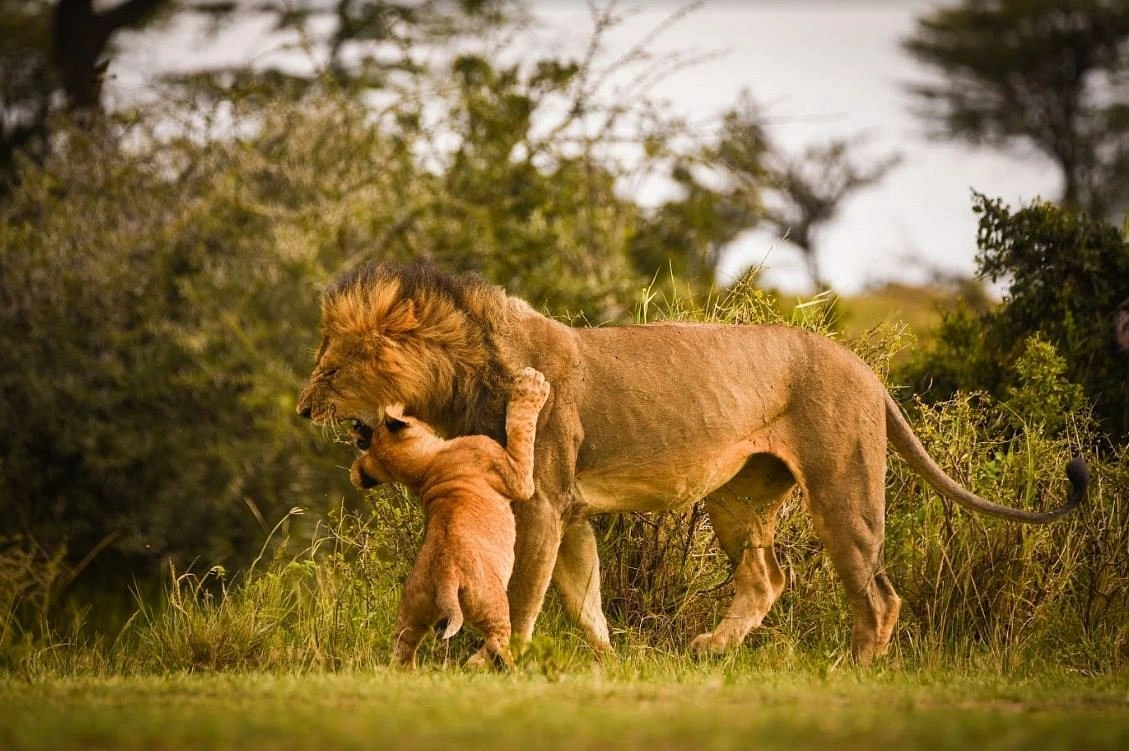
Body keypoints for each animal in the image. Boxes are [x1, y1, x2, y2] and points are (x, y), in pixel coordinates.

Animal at [295, 260, 1088, 664]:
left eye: (329, 369)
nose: (301, 410)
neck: (462, 373)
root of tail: (865, 367)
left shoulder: (542, 499)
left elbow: (525, 591)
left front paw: (503, 660)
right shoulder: (570, 511)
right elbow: (582, 595)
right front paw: (606, 662)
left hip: (844, 485)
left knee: (879, 594)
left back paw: (854, 668)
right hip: (738, 495)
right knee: (769, 577)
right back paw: (711, 648)